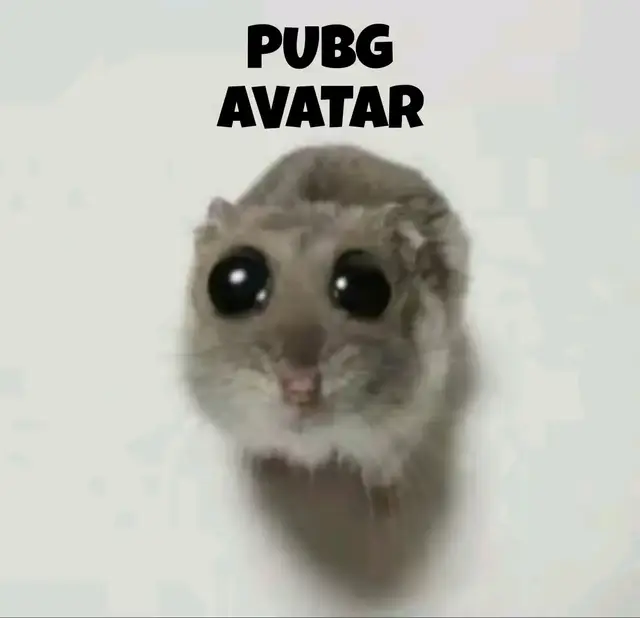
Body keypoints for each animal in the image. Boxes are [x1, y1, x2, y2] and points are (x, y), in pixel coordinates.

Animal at [182, 144, 470, 497]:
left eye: (363, 287)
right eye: (233, 283)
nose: (300, 389)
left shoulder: (402, 426)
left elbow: (382, 470)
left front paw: (387, 504)